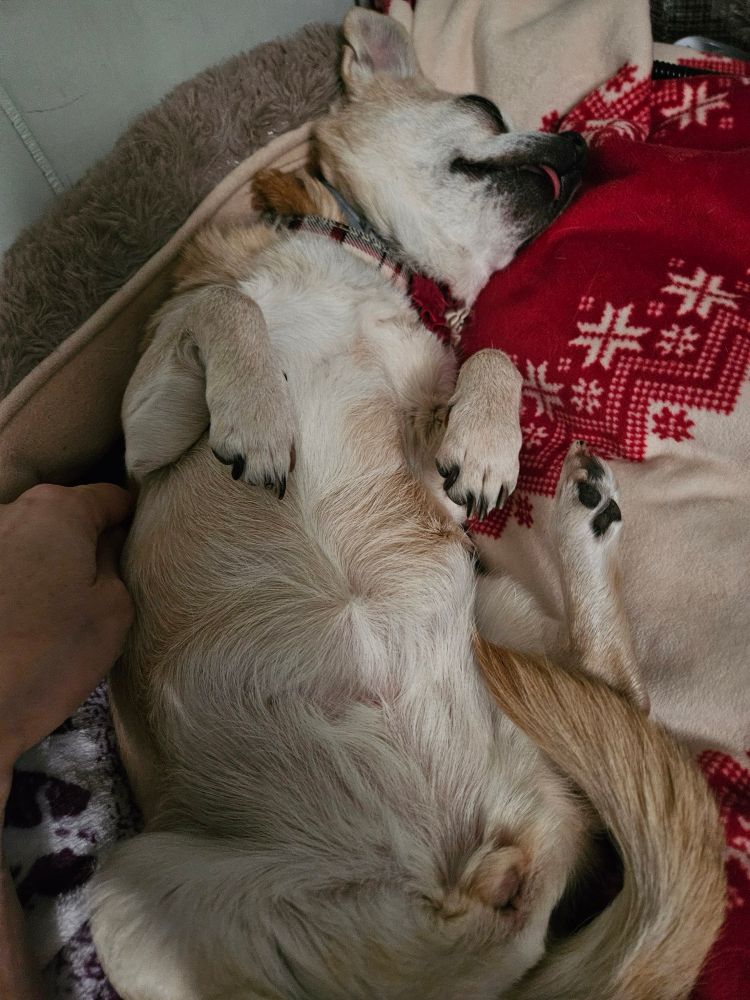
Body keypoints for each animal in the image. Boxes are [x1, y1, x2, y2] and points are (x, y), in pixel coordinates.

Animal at [91, 10, 725, 999]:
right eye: (483, 107)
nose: (581, 148)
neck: (357, 256)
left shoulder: (436, 470)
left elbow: (492, 360)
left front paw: (491, 446)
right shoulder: (144, 431)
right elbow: (228, 299)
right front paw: (260, 417)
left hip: (498, 627)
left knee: (625, 705)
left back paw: (581, 517)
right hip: (123, 898)